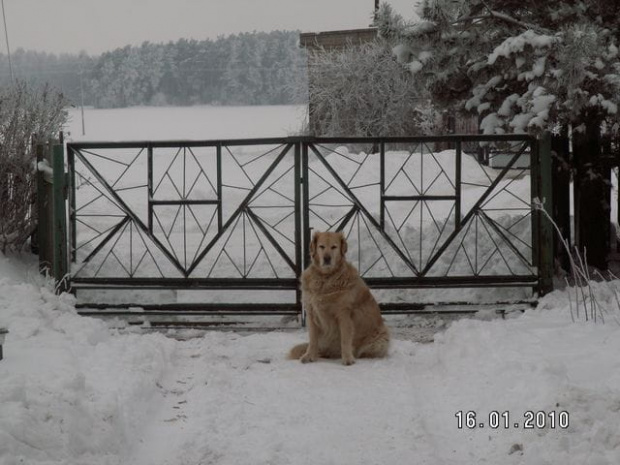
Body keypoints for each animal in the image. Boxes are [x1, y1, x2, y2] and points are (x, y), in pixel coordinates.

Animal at [290, 230, 388, 364]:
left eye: (334, 247)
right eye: (321, 246)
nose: (327, 258)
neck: (325, 278)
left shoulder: (344, 314)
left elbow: (345, 339)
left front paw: (347, 359)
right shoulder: (311, 312)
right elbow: (313, 339)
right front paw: (309, 356)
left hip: (381, 337)